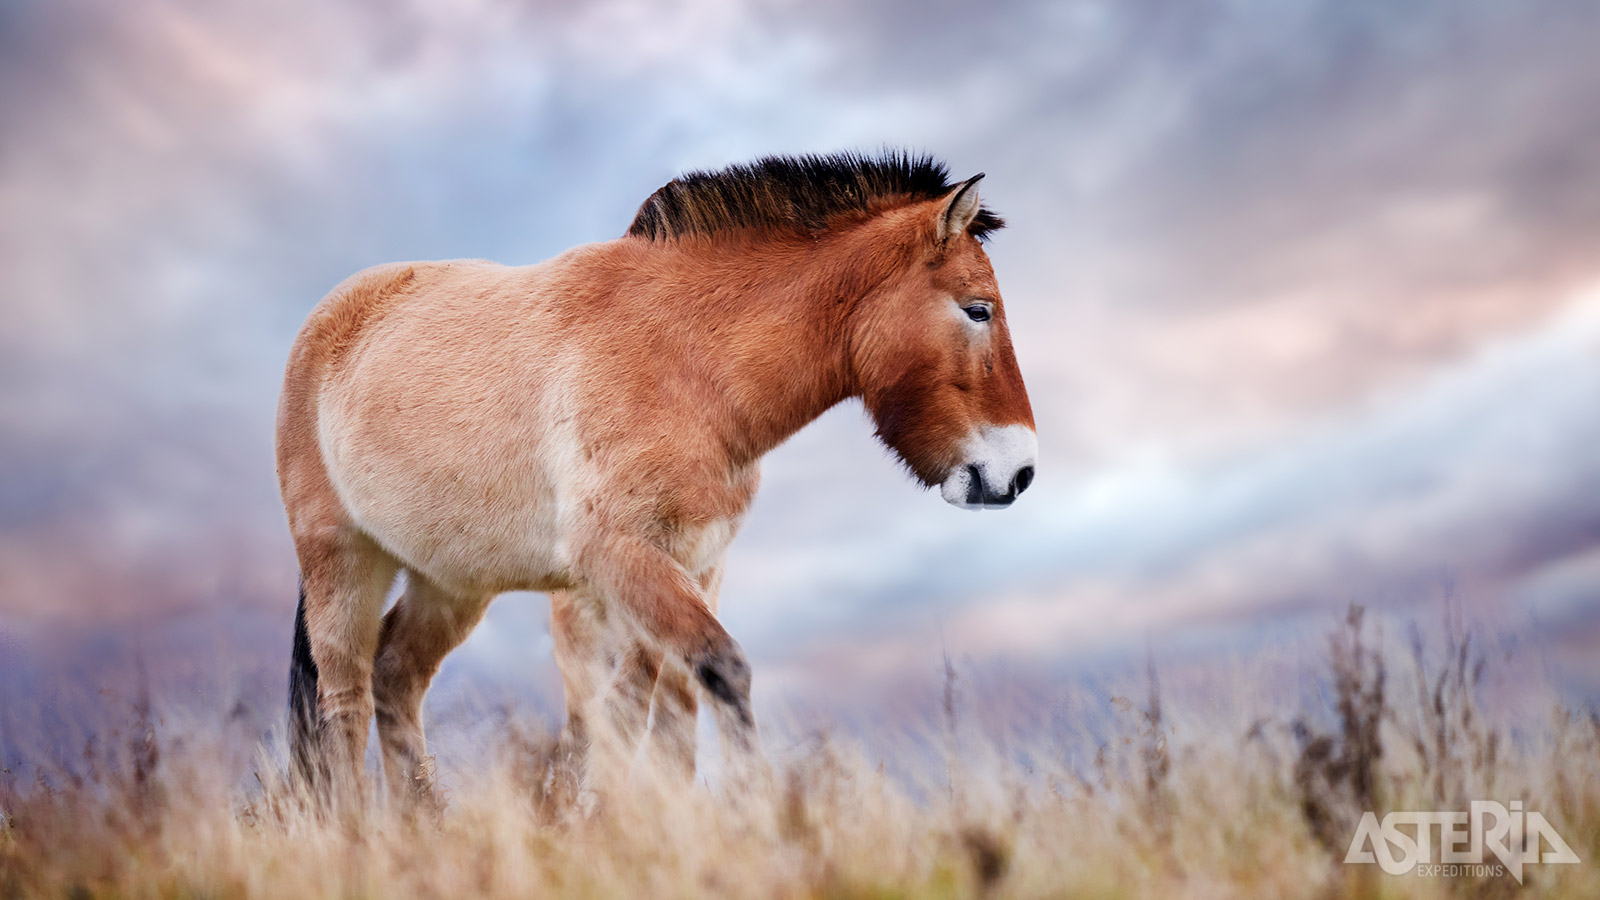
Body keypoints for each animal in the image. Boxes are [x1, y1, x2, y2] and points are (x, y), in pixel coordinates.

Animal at [276, 151, 1037, 808]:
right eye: (977, 309)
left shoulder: (692, 564)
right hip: (341, 560)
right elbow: (713, 675)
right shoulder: (624, 558)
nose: (1020, 472)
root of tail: (334, 318)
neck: (687, 362)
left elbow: (661, 714)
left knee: (394, 680)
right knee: (344, 702)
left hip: (452, 582)